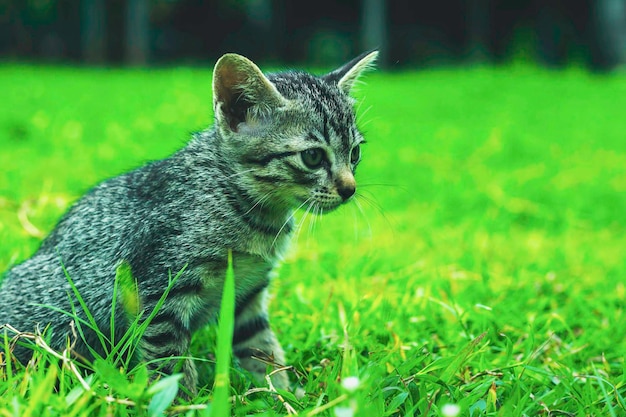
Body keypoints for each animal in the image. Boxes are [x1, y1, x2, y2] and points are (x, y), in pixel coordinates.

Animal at [0, 49, 376, 390]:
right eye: (312, 157)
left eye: (355, 153)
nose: (349, 189)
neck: (251, 210)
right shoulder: (160, 294)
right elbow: (171, 369)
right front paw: (184, 405)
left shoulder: (247, 295)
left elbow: (262, 351)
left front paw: (282, 398)